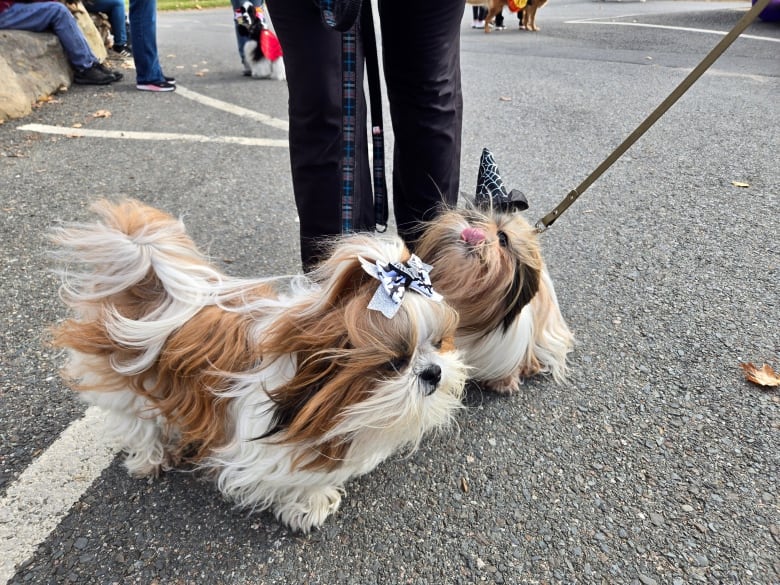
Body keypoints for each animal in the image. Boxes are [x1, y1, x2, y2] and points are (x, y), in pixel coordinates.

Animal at [51, 198, 466, 532]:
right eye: (395, 362)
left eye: (438, 343)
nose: (433, 372)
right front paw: (307, 505)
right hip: (127, 387)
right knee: (137, 423)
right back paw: (150, 457)